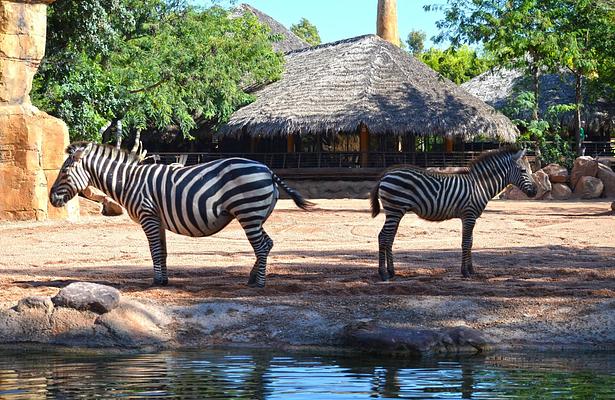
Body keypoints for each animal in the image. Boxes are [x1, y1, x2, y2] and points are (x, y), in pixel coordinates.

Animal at [49, 143, 312, 288]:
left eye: (64, 173)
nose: (51, 199)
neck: (129, 182)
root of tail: (267, 170)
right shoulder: (157, 219)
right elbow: (162, 251)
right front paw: (164, 279)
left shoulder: (148, 215)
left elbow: (155, 250)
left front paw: (156, 281)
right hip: (256, 215)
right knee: (267, 243)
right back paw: (251, 277)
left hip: (248, 213)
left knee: (262, 245)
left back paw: (259, 283)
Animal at [370, 148, 540, 282]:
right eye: (524, 171)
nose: (536, 192)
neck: (479, 185)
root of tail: (386, 175)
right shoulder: (469, 215)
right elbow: (466, 243)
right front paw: (465, 272)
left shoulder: (471, 217)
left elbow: (470, 242)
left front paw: (471, 270)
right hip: (394, 209)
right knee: (383, 237)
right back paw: (383, 274)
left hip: (396, 212)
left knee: (389, 238)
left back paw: (391, 272)